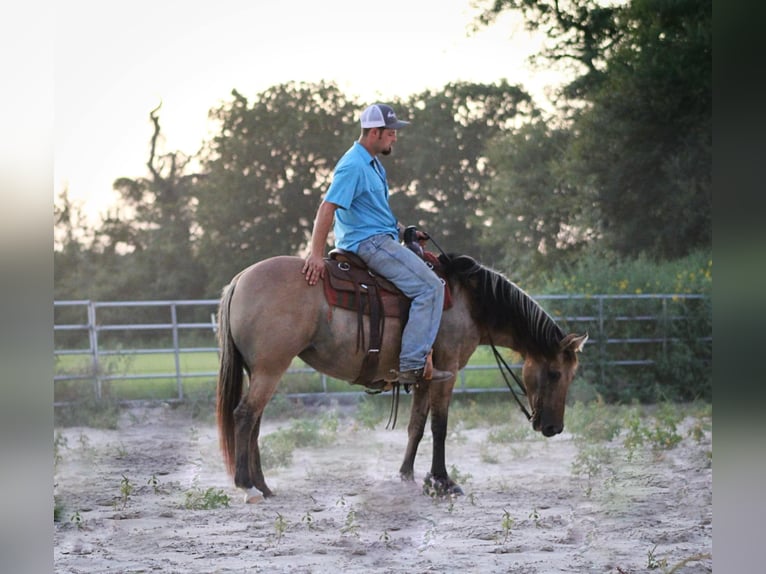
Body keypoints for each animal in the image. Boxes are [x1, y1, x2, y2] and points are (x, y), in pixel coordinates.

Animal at [216, 253, 588, 502]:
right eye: (555, 373)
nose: (554, 428)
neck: (469, 302)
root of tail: (240, 279)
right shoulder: (447, 372)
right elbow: (440, 427)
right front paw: (442, 481)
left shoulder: (424, 377)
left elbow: (416, 426)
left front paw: (407, 476)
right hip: (269, 369)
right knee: (245, 416)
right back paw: (247, 486)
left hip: (260, 371)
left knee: (254, 421)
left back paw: (264, 486)